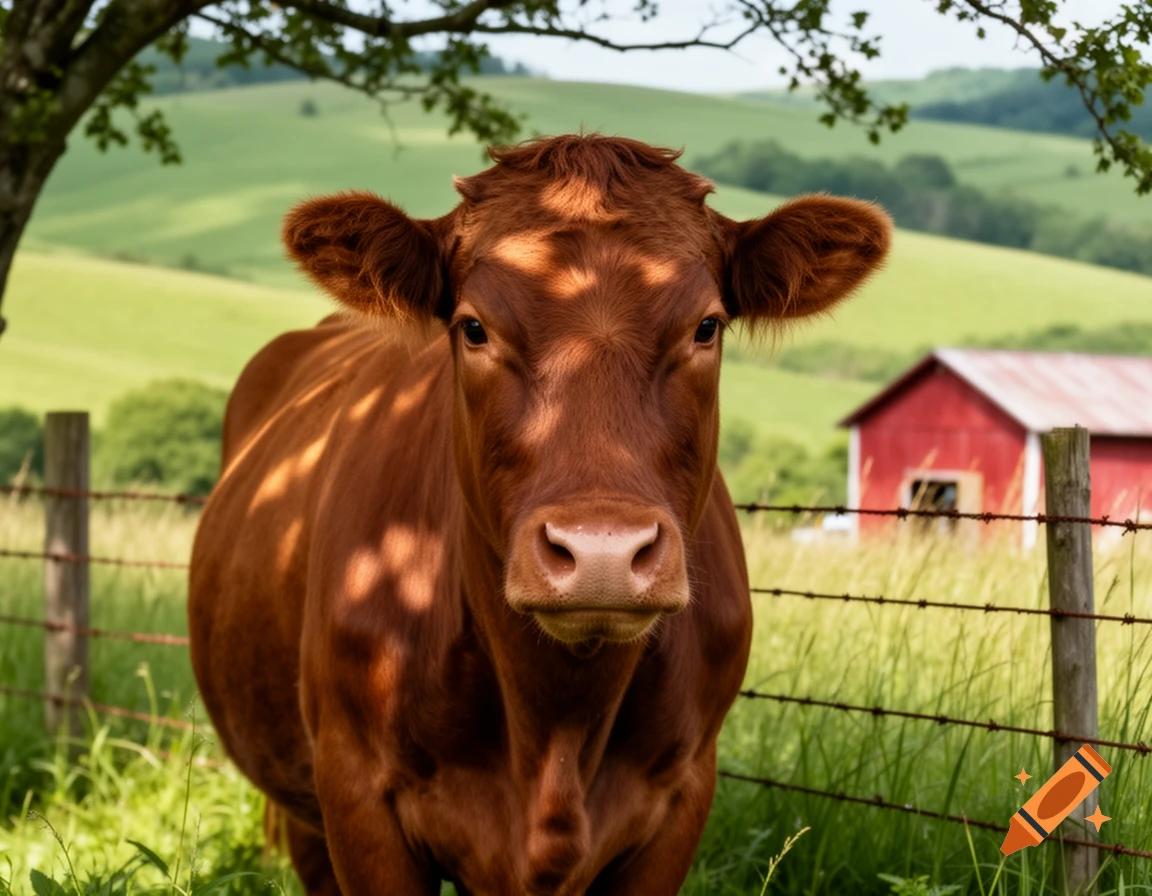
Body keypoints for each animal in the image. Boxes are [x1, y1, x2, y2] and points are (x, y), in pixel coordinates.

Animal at [188, 133, 891, 895]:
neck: (555, 725)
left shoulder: (681, 798)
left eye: (707, 326)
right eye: (473, 327)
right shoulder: (355, 793)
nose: (602, 551)